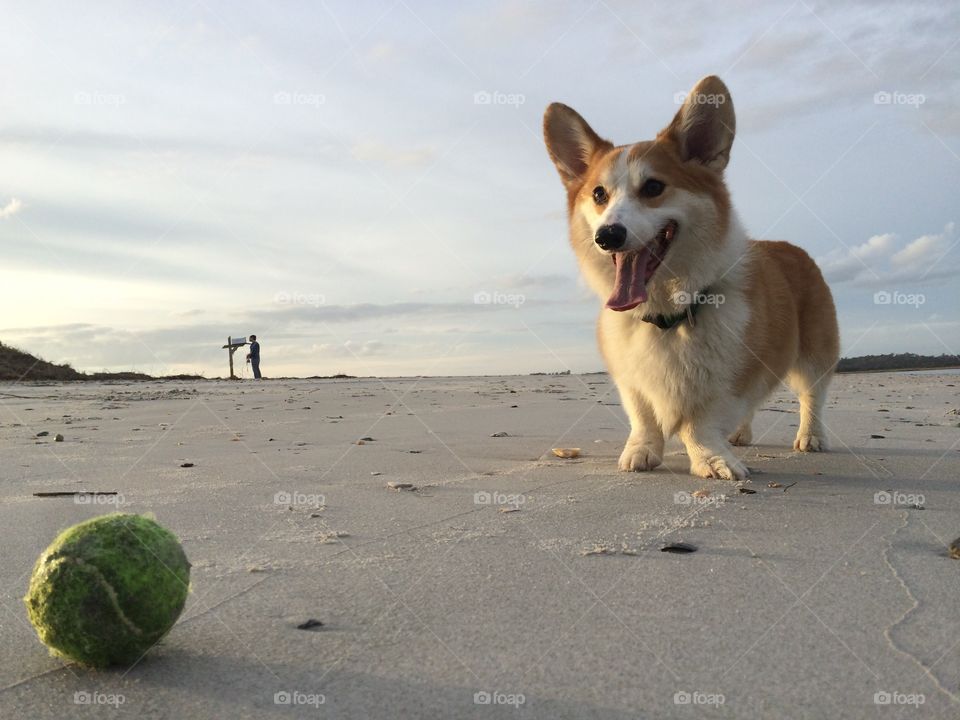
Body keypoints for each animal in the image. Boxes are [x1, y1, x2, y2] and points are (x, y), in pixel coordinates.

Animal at [544, 76, 836, 480]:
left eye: (653, 187)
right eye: (599, 194)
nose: (607, 236)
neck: (667, 312)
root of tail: (791, 246)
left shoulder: (730, 377)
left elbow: (701, 423)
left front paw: (711, 459)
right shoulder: (631, 379)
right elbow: (643, 417)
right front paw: (641, 451)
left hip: (815, 352)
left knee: (813, 395)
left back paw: (812, 436)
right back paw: (740, 435)